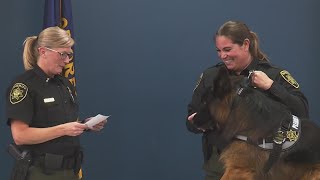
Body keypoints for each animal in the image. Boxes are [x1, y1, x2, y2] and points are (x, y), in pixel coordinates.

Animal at [5, 26, 106, 180]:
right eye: (63, 54)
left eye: (69, 54)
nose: (67, 60)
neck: (49, 77)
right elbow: (22, 132)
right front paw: (71, 128)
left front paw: (94, 123)